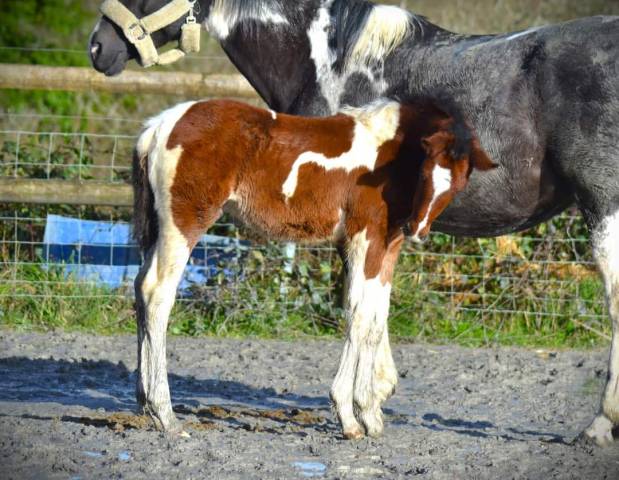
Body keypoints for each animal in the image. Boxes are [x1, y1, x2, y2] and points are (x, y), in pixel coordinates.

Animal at [132, 96, 494, 438]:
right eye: (425, 172)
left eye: (459, 182)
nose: (417, 230)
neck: (391, 152)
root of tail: (160, 126)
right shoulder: (364, 238)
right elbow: (359, 315)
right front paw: (350, 416)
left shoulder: (388, 244)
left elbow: (376, 320)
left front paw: (371, 415)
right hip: (184, 224)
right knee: (158, 295)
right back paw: (167, 415)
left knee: (140, 287)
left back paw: (145, 402)